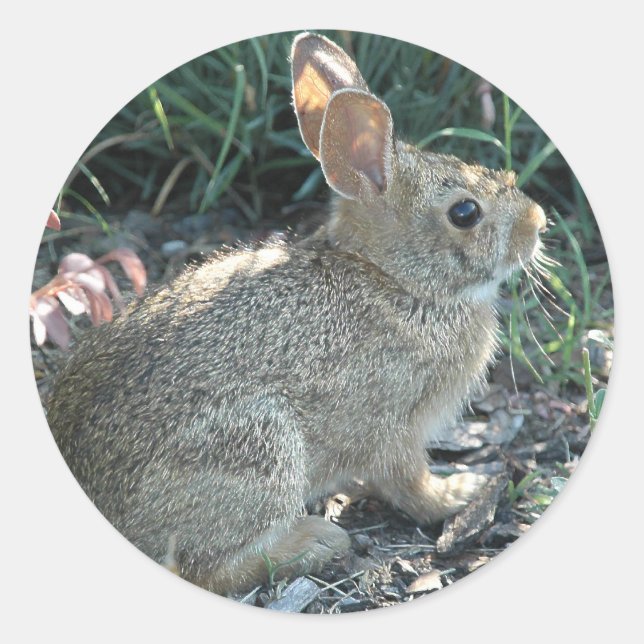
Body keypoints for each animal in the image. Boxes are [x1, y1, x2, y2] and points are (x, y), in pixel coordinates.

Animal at [46, 32, 547, 597]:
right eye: (465, 213)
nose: (538, 221)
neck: (393, 280)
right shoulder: (393, 422)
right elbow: (407, 481)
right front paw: (459, 493)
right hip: (258, 447)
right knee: (204, 568)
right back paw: (315, 542)